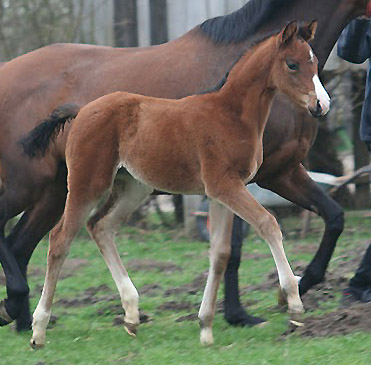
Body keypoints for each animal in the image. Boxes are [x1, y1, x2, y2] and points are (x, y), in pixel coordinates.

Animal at [31, 21, 328, 346]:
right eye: (292, 64)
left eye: (315, 62)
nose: (321, 104)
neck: (231, 115)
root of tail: (81, 111)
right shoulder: (224, 185)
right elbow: (268, 223)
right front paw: (294, 302)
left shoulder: (222, 193)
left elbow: (220, 253)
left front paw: (206, 327)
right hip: (87, 183)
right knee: (61, 238)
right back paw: (39, 329)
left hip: (134, 187)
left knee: (100, 226)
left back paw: (132, 314)